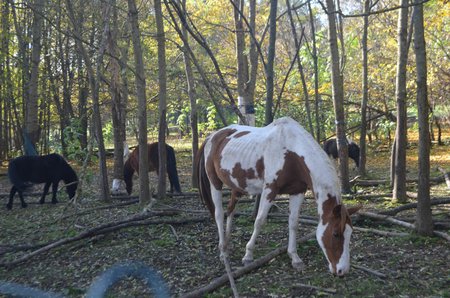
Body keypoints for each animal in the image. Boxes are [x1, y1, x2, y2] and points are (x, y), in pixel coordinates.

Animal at [197, 117, 358, 276]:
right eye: (336, 234)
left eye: (350, 232)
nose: (342, 270)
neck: (291, 153)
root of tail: (212, 136)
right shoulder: (269, 190)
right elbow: (259, 220)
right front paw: (248, 255)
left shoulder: (297, 191)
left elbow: (293, 223)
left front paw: (295, 258)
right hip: (215, 183)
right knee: (219, 214)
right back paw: (223, 251)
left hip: (237, 187)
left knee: (230, 210)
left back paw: (226, 243)